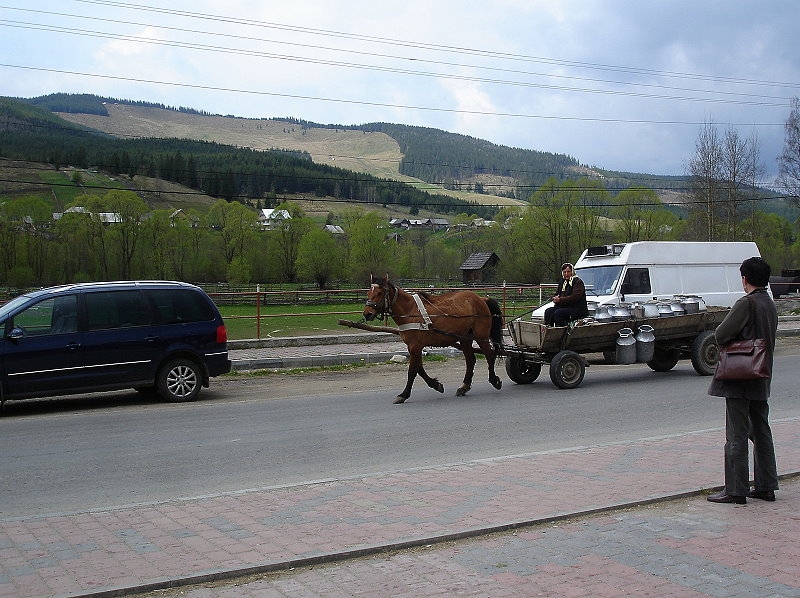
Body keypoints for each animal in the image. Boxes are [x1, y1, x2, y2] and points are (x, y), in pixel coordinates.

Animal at [360, 276, 500, 406]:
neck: (410, 311)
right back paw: (464, 387)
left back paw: (494, 380)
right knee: (471, 360)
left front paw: (404, 394)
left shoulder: (415, 347)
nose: (367, 314)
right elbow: (419, 369)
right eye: (368, 293)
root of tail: (481, 299)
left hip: (481, 336)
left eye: (380, 293)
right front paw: (436, 385)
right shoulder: (413, 347)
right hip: (465, 339)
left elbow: (412, 371)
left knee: (489, 355)